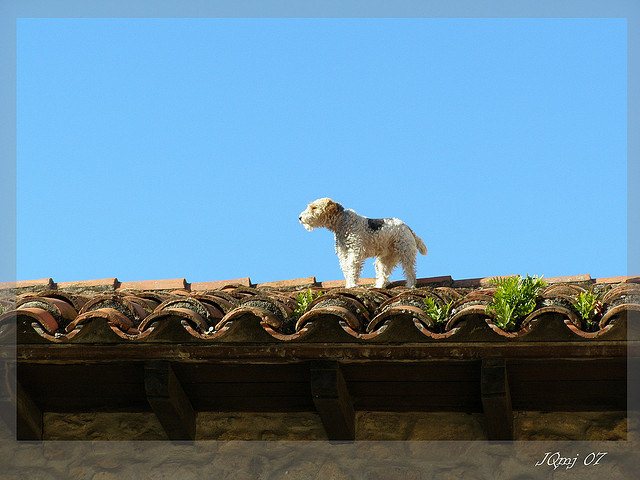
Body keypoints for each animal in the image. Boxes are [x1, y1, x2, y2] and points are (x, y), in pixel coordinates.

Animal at [298, 197, 428, 286]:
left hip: (405, 251)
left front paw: (352, 285)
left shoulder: (355, 252)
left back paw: (410, 285)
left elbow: (352, 269)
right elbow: (346, 269)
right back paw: (378, 286)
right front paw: (349, 285)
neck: (342, 222)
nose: (300, 218)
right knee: (383, 274)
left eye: (314, 207)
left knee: (410, 271)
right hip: (386, 258)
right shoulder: (343, 254)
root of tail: (408, 227)